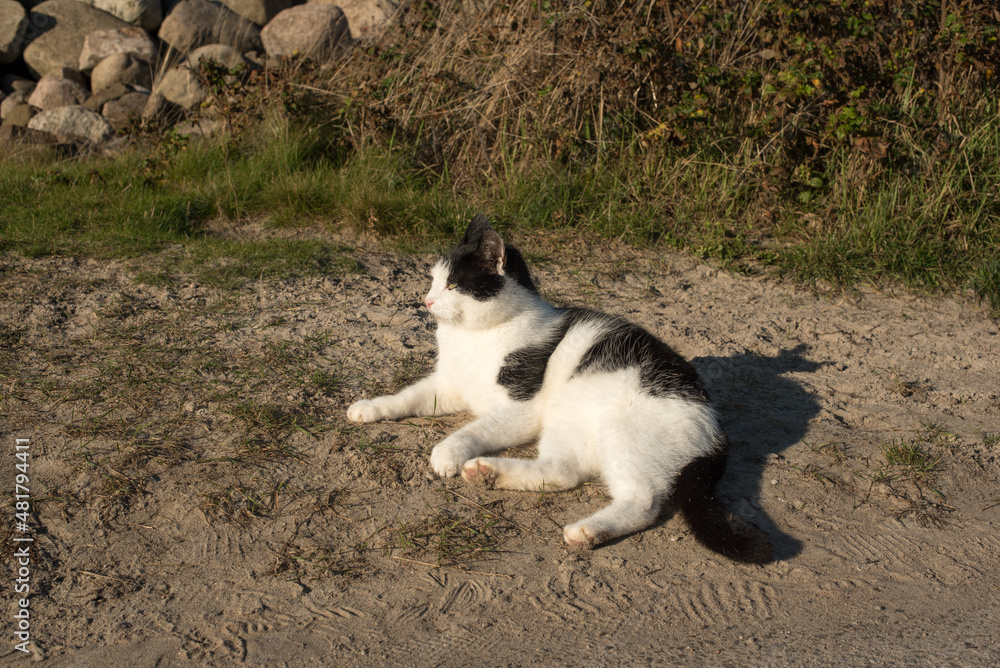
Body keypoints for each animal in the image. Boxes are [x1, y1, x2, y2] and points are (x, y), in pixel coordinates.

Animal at [348, 214, 776, 564]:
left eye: (453, 284)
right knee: (561, 472)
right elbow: (407, 396)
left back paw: (587, 531)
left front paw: (447, 452)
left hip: (621, 430)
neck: (473, 337)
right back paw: (489, 473)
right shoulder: (448, 384)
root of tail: (714, 426)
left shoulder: (521, 407)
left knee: (643, 500)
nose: (426, 300)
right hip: (568, 424)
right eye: (434, 281)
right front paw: (370, 408)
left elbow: (474, 428)